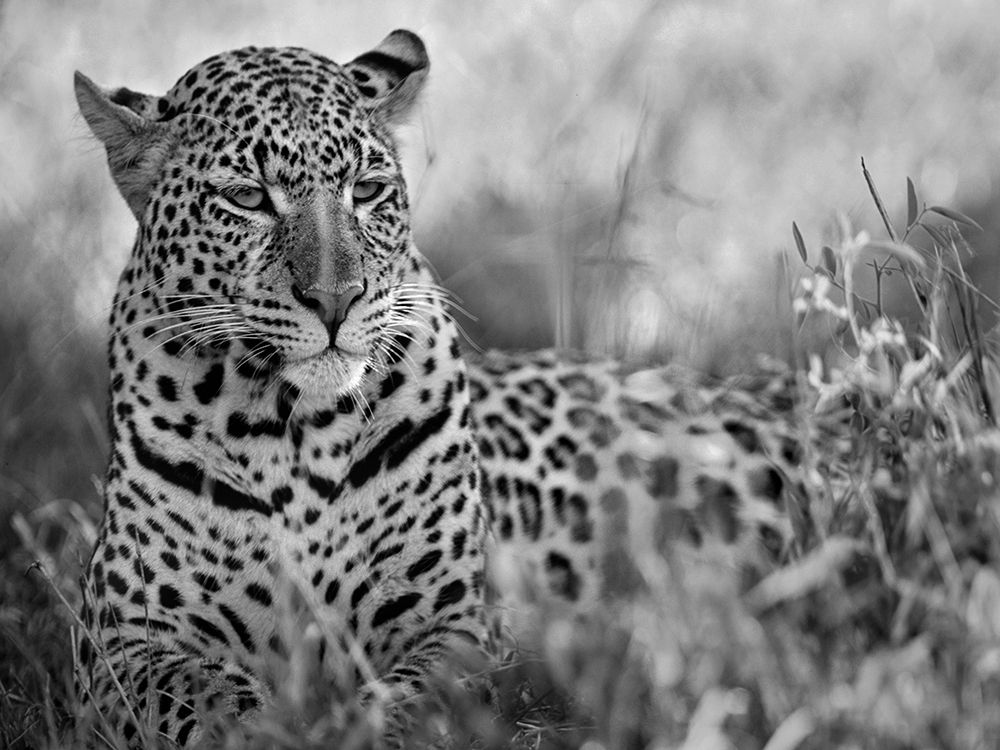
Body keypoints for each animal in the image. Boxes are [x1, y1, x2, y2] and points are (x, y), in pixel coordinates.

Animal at [73, 29, 806, 746]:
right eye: (248, 198)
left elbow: (413, 702)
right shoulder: (118, 642)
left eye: (367, 190)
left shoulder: (461, 623)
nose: (336, 299)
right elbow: (206, 704)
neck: (295, 425)